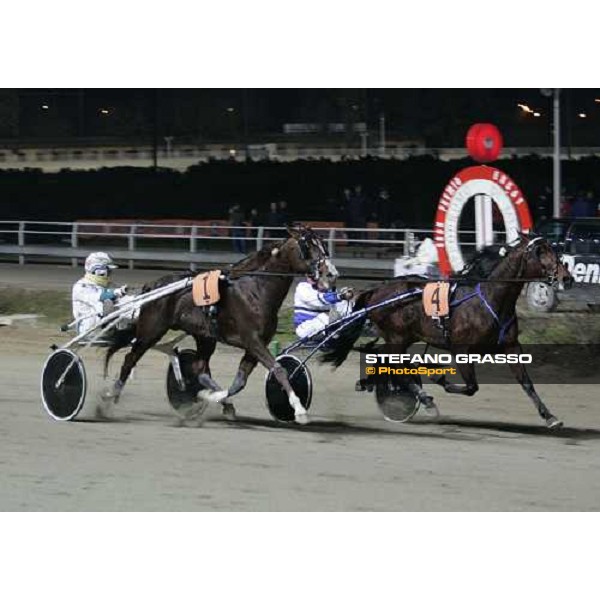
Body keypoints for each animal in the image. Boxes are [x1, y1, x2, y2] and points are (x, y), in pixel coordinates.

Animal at [103, 223, 338, 424]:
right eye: (307, 246)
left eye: (323, 244)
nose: (332, 274)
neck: (256, 289)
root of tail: (152, 285)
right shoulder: (252, 341)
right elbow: (279, 369)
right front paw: (299, 410)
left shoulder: (255, 346)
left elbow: (239, 382)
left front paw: (214, 397)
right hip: (151, 331)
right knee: (130, 359)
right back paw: (109, 398)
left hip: (205, 336)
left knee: (200, 370)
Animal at [324, 233, 572, 426]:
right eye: (540, 252)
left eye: (553, 249)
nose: (566, 278)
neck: (490, 300)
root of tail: (375, 291)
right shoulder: (461, 351)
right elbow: (471, 387)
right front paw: (437, 377)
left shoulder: (511, 347)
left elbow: (526, 383)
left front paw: (549, 416)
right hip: (397, 337)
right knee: (393, 364)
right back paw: (423, 399)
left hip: (402, 338)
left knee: (385, 360)